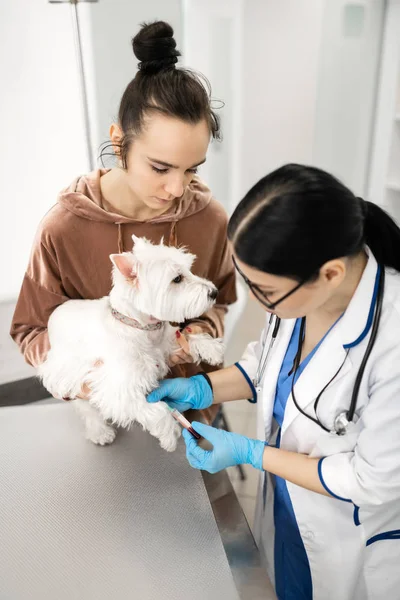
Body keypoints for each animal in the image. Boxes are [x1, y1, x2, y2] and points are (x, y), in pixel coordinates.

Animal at [38, 234, 225, 450]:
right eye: (177, 278)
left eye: (189, 270)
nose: (214, 292)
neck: (141, 327)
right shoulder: (119, 385)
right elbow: (155, 409)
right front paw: (170, 434)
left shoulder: (167, 344)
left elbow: (187, 337)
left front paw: (212, 349)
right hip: (67, 376)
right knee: (86, 408)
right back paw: (100, 432)